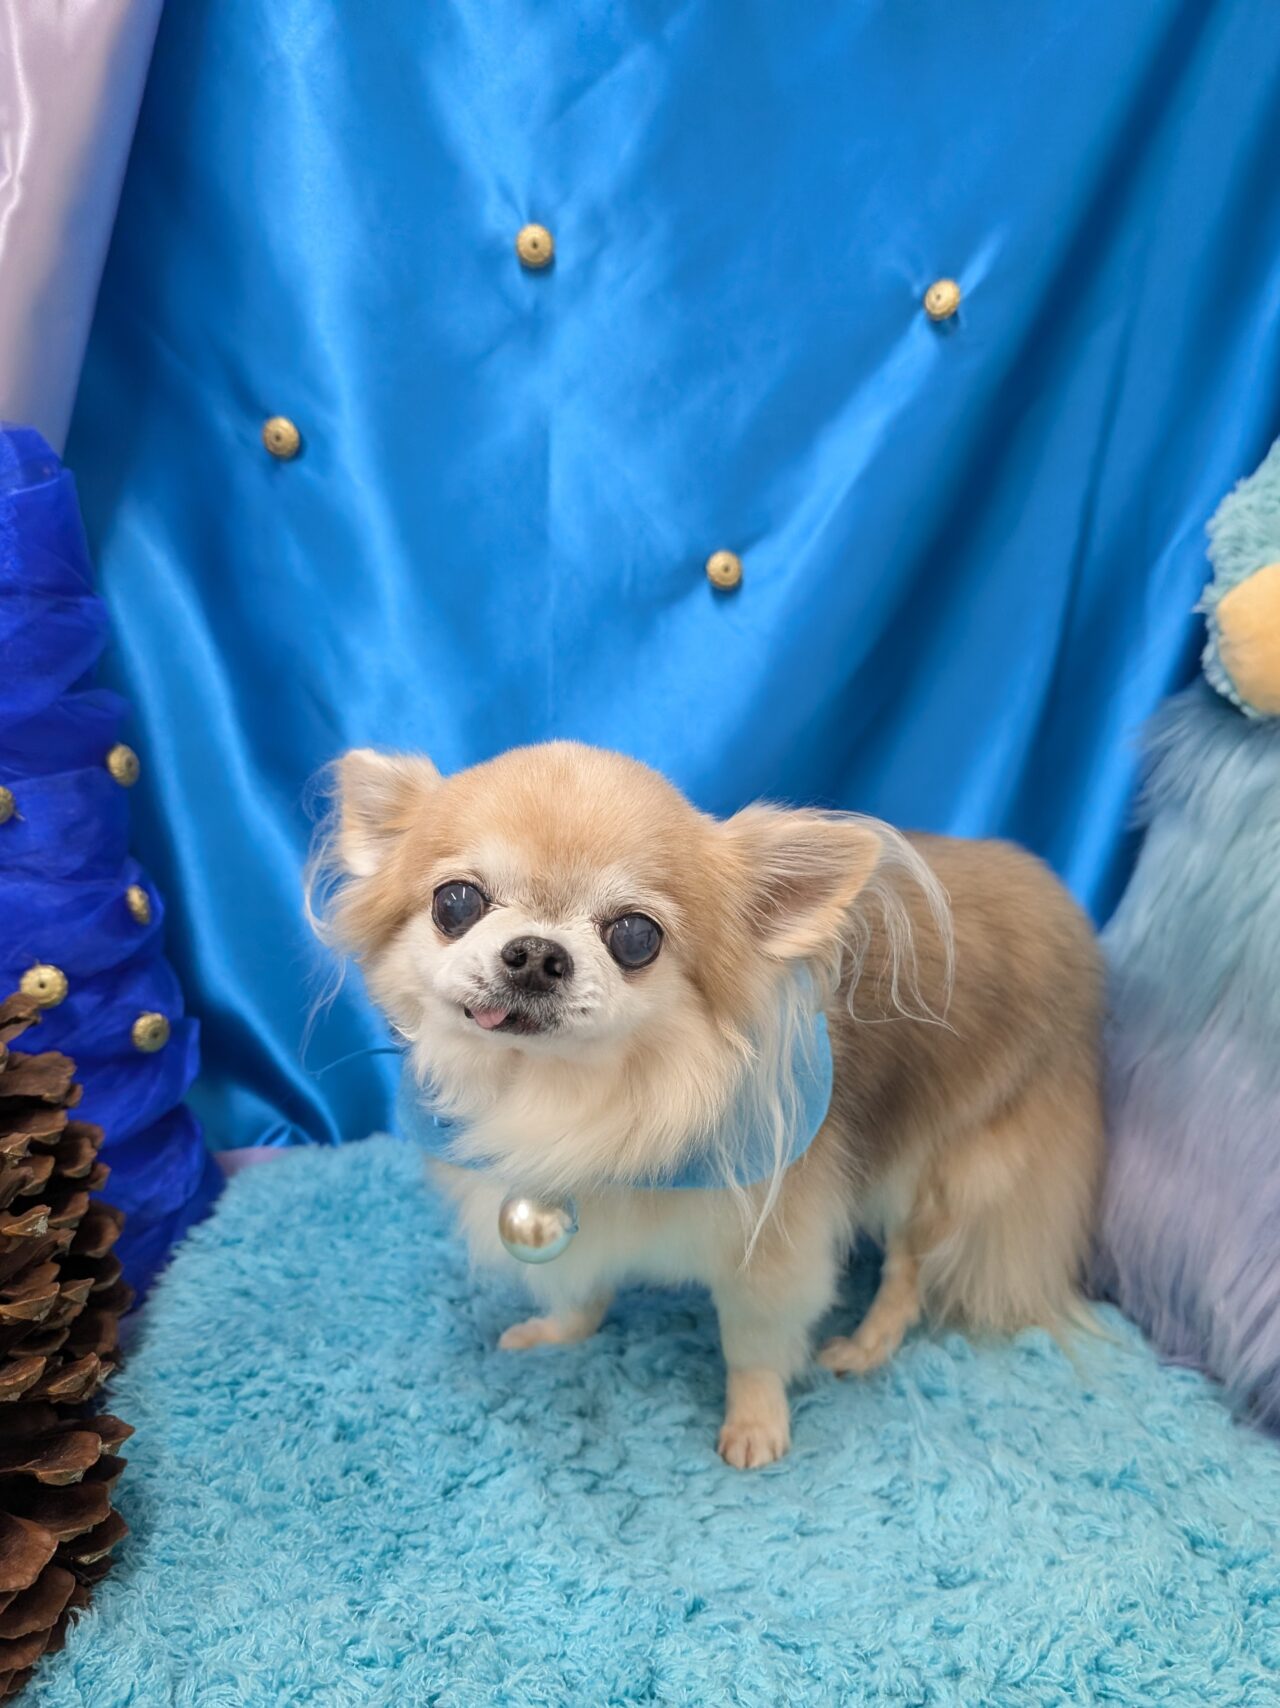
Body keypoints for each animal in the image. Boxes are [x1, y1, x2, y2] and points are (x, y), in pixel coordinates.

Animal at [311, 741, 1104, 1468]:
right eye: (456, 902)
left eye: (636, 936)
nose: (536, 953)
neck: (576, 1096)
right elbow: (581, 1284)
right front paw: (560, 1332)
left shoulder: (776, 1251)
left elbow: (753, 1344)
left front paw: (755, 1422)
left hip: (942, 1171)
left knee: (909, 1270)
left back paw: (866, 1345)